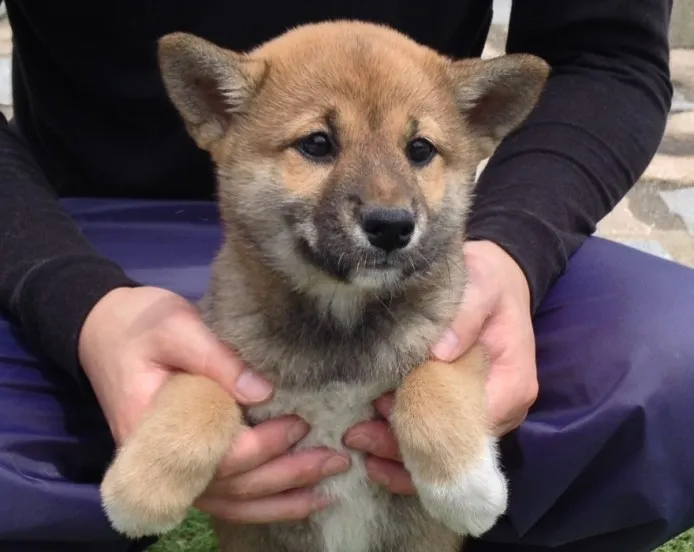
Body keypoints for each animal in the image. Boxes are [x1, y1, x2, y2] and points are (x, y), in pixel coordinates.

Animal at [100, 19, 552, 552]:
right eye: (317, 144)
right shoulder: (224, 352)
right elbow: (198, 389)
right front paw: (140, 489)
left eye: (419, 149)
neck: (339, 325)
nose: (392, 226)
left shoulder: (456, 337)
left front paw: (466, 486)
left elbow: (431, 378)